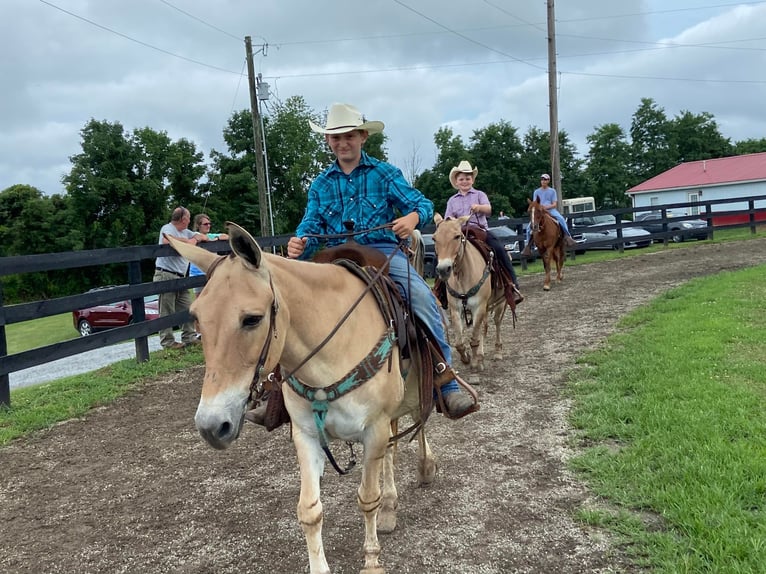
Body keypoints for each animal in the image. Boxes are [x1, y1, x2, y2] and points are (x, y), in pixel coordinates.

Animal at [170, 226, 440, 574]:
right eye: (197, 318)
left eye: (252, 319)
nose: (211, 426)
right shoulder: (307, 435)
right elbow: (309, 511)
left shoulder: (374, 429)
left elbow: (368, 498)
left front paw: (371, 562)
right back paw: (391, 509)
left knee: (418, 422)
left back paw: (426, 467)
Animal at [432, 216, 510, 374]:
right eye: (434, 238)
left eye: (457, 236)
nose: (443, 269)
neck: (463, 276)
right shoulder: (456, 309)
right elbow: (459, 342)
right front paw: (467, 358)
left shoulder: (478, 307)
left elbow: (474, 338)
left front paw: (475, 363)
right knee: (484, 328)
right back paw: (480, 354)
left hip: (500, 303)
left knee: (497, 323)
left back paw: (497, 352)